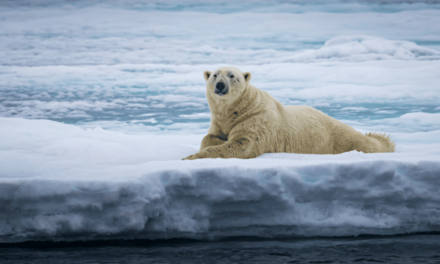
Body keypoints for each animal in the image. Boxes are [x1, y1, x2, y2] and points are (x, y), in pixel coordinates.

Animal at [182, 67, 396, 160]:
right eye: (215, 75)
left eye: (232, 76)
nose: (220, 85)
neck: (239, 108)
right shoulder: (220, 120)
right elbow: (211, 136)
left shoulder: (256, 120)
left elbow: (242, 145)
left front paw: (191, 157)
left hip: (338, 139)